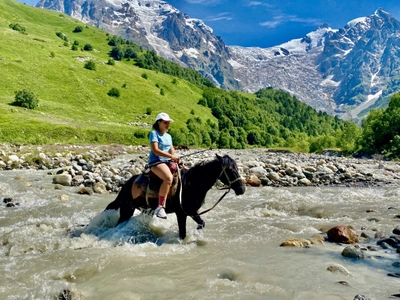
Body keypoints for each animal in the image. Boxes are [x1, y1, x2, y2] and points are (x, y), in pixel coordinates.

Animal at [104, 155, 245, 239]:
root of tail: (126, 185)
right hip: (127, 210)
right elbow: (183, 233)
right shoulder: (181, 213)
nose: (242, 189)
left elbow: (202, 223)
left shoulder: (192, 211)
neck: (192, 184)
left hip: (146, 210)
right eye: (230, 170)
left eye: (237, 168)